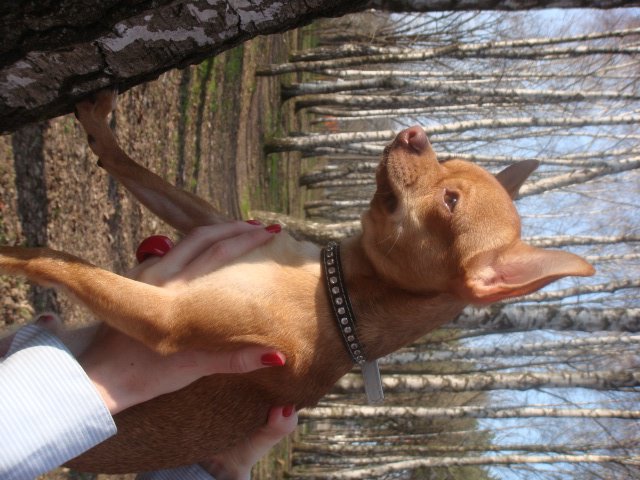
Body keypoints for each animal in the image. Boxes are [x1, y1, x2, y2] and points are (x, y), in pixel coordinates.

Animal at [0, 90, 595, 472]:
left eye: (450, 201)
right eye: (447, 162)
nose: (414, 132)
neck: (332, 289)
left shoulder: (168, 320)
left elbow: (57, 259)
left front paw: (9, 254)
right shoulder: (212, 222)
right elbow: (131, 168)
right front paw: (101, 129)